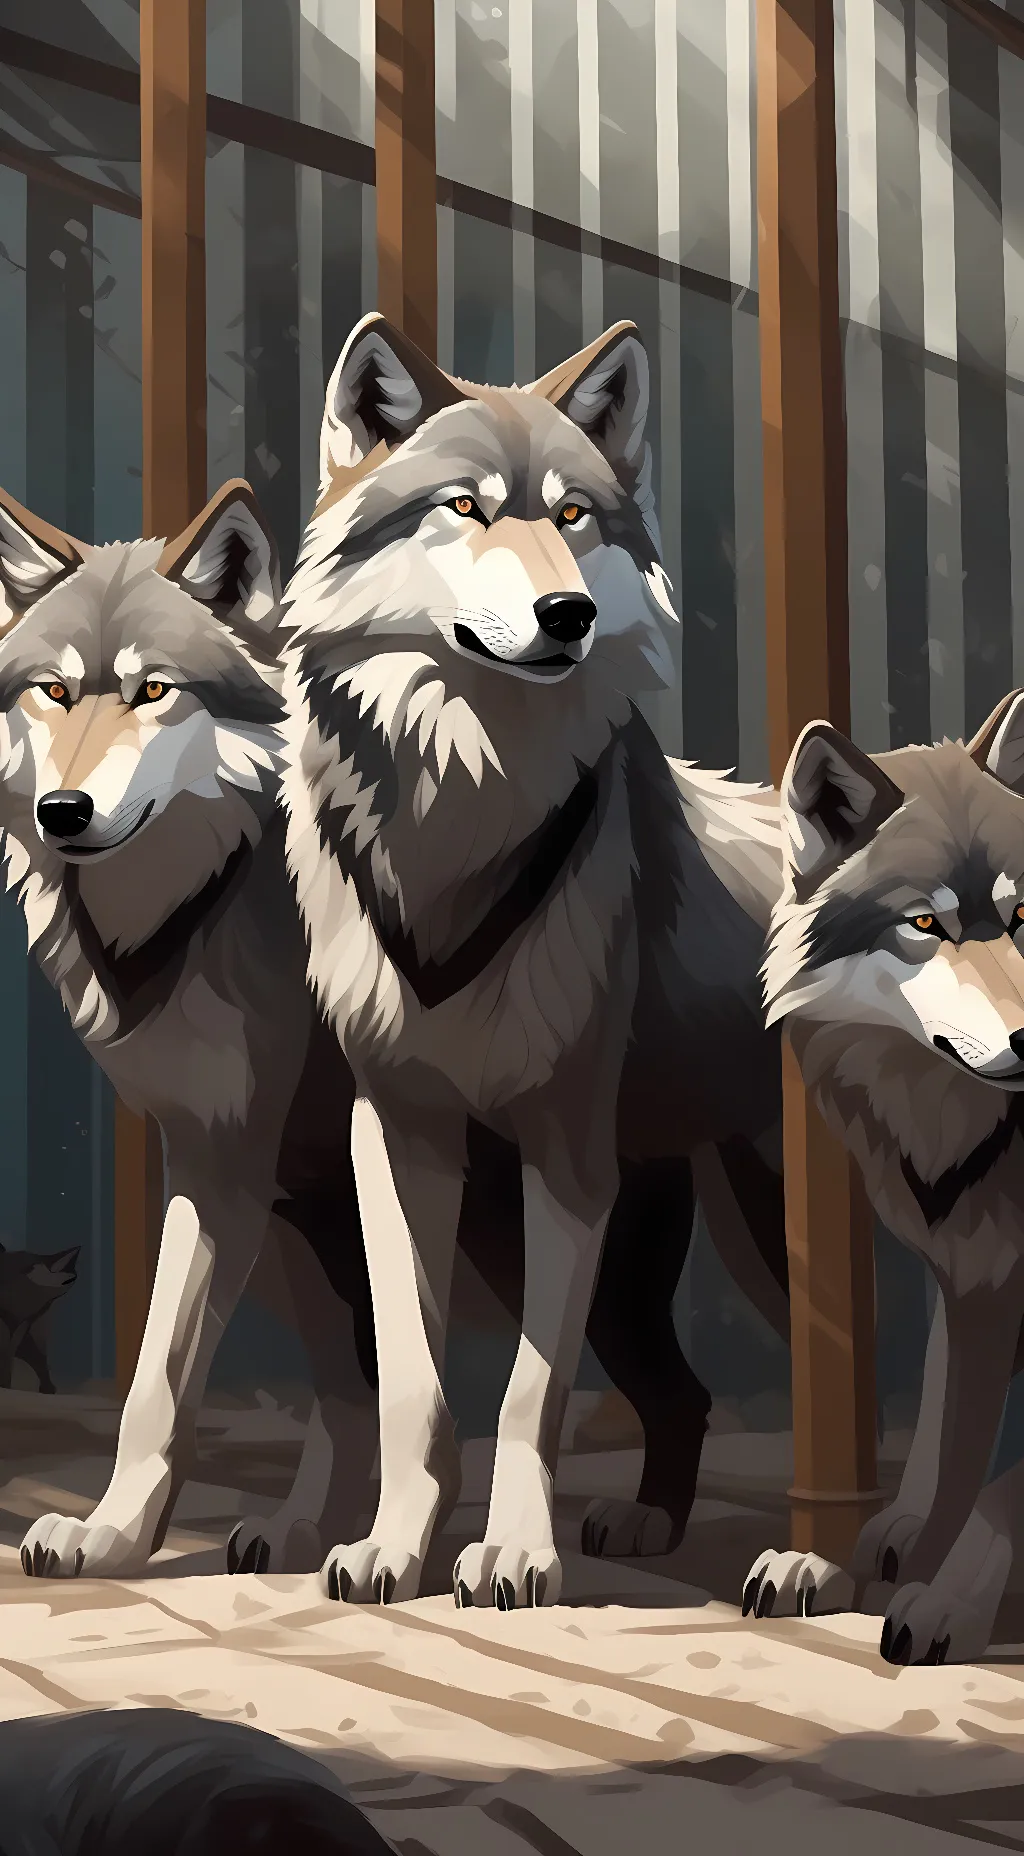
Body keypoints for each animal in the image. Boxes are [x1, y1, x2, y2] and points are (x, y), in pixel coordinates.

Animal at [0, 1239, 79, 1391]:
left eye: (74, 1274)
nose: (74, 1278)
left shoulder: (22, 1326)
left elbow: (8, 1358)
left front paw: (6, 1387)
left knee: (40, 1364)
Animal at [282, 311, 790, 1610]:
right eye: (464, 506)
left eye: (572, 515)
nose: (567, 615)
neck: (464, 805)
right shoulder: (398, 1135)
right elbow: (417, 1383)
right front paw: (393, 1546)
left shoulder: (564, 1147)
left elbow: (523, 1394)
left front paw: (513, 1554)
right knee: (682, 1389)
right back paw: (653, 1519)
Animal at [742, 694, 1024, 1663]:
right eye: (925, 925)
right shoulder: (972, 1271)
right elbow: (952, 1435)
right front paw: (837, 1562)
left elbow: (997, 1478)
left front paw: (950, 1600)